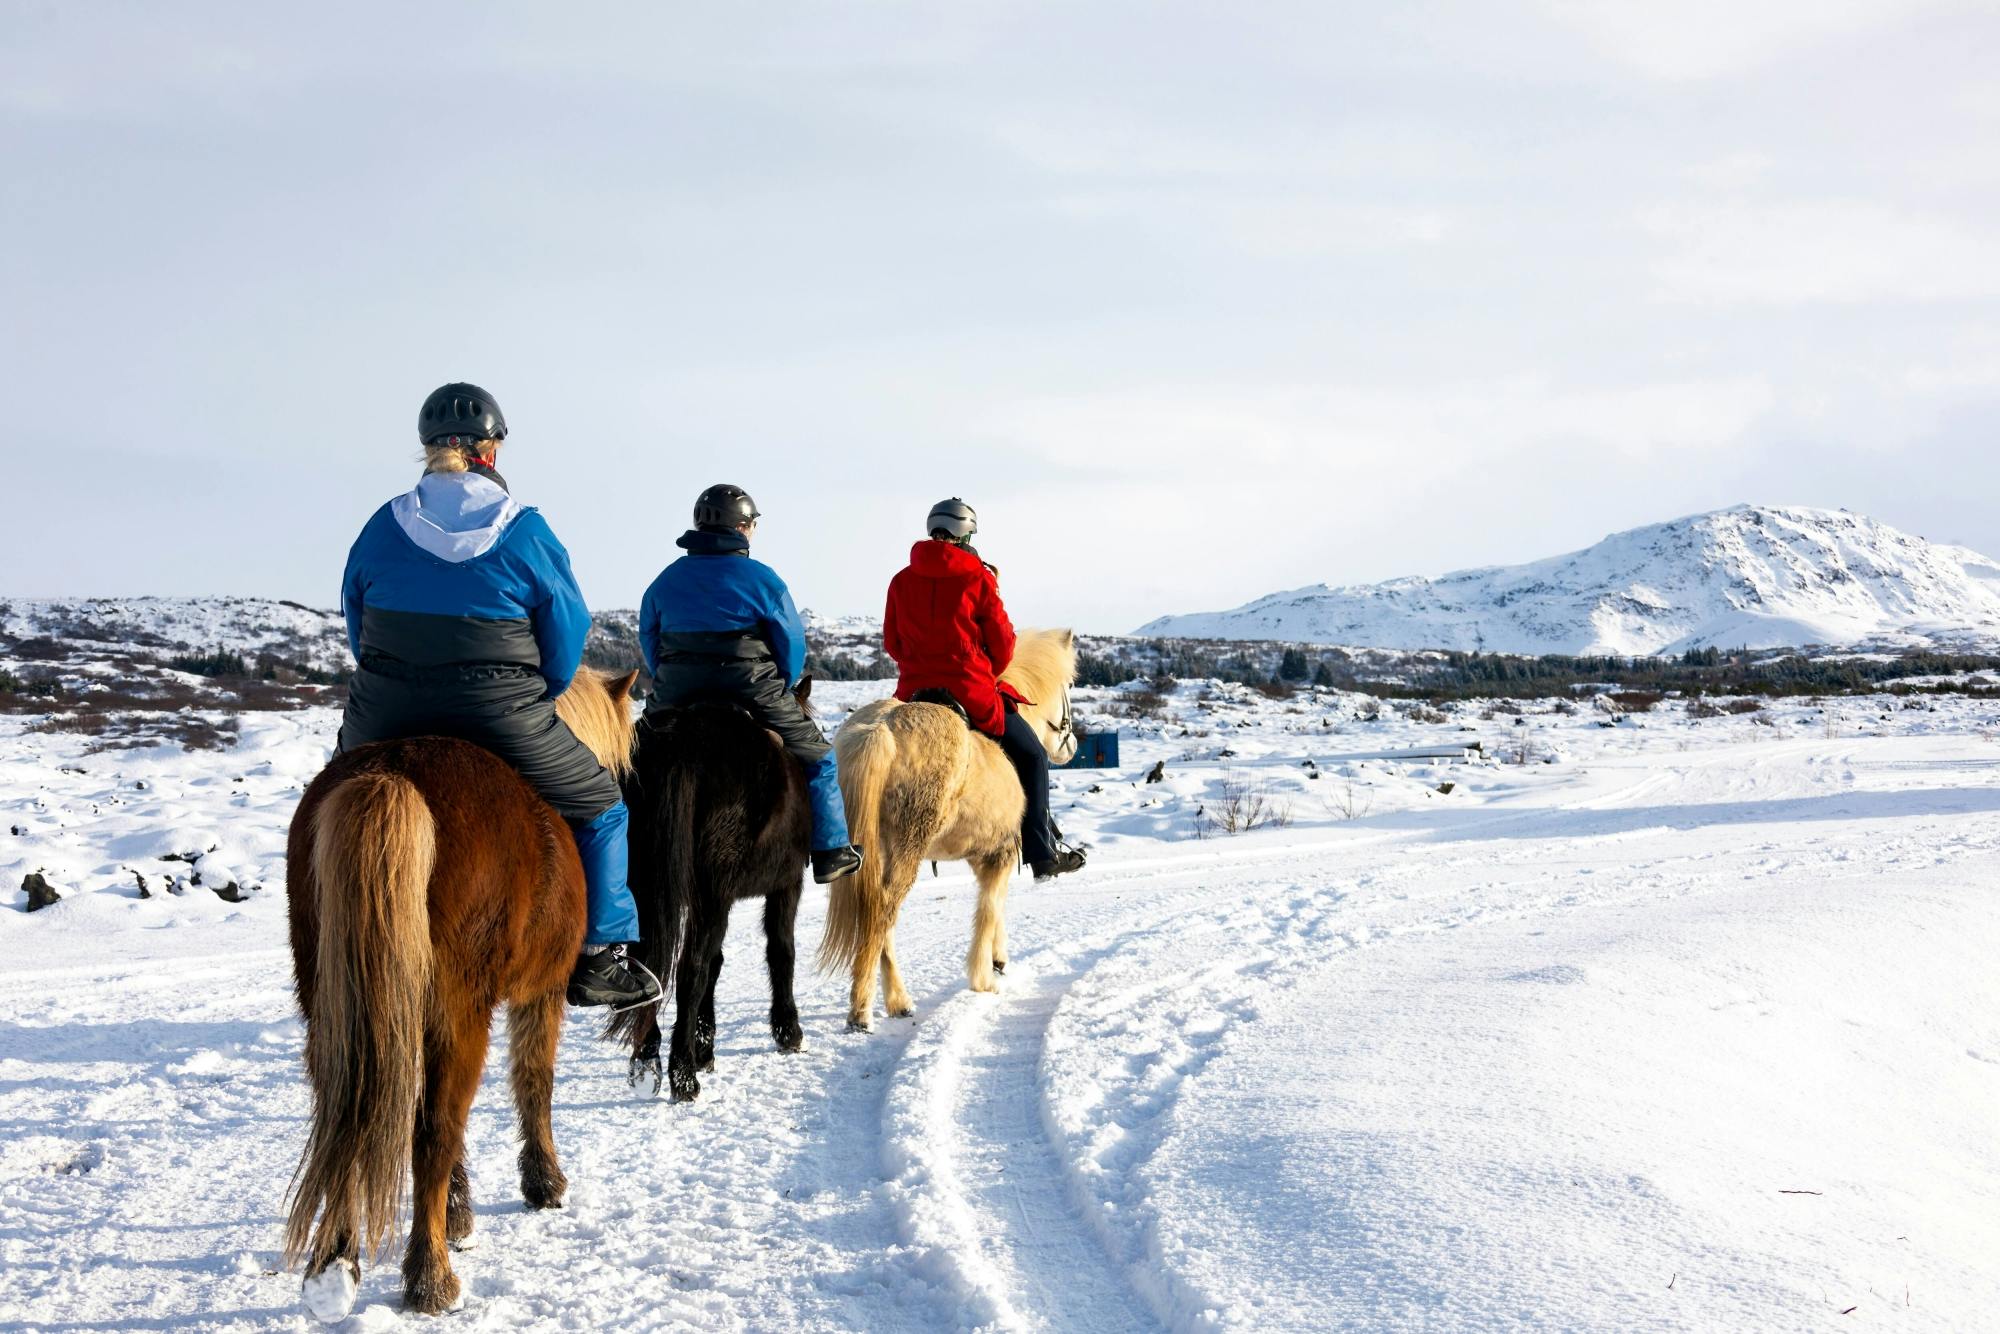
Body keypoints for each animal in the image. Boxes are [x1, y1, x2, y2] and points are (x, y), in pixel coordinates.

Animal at [281, 667, 638, 1319]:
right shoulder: (541, 994)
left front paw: (460, 1214)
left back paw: (335, 1268)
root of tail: (391, 775)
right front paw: (543, 1183)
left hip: (335, 1007)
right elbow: (534, 1083)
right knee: (434, 1127)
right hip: (459, 1010)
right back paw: (430, 1278)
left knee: (349, 1110)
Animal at [609, 681, 814, 1100]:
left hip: (650, 888)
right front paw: (788, 1030)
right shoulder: (786, 886)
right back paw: (683, 1074)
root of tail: (682, 740)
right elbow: (780, 950)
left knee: (649, 967)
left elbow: (718, 963)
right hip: (712, 895)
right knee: (691, 969)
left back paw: (648, 1059)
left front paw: (705, 1045)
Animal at [819, 627, 1078, 1030]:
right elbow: (988, 907)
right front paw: (984, 977)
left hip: (874, 852)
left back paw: (897, 1001)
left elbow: (995, 905)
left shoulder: (982, 855)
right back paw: (863, 1009)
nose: (1073, 744)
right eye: (1069, 687)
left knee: (877, 912)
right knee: (883, 912)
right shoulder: (1001, 852)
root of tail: (880, 729)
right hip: (907, 847)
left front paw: (997, 959)